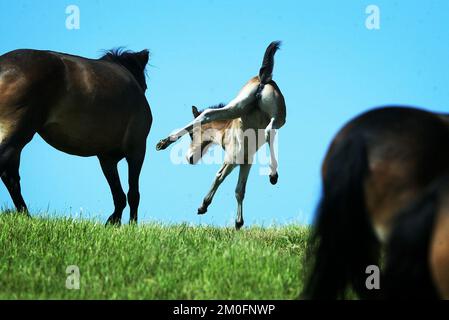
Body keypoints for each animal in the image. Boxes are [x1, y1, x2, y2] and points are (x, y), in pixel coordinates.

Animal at [0, 48, 152, 225]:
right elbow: (133, 193)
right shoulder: (137, 150)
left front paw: (113, 222)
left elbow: (118, 195)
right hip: (17, 134)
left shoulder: (107, 159)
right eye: (145, 86)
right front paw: (132, 225)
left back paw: (26, 216)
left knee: (11, 178)